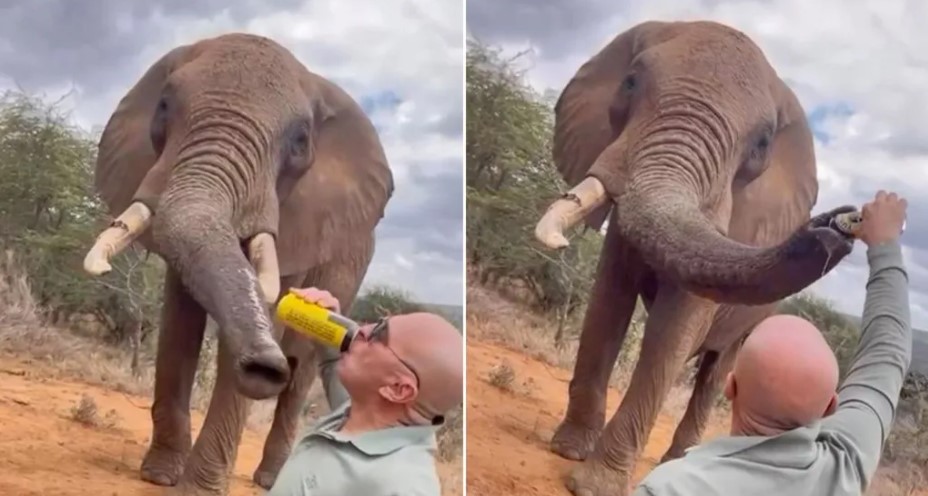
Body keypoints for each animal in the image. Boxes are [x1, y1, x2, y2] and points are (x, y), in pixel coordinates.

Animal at [81, 33, 393, 494]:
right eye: (164, 106)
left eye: (301, 140)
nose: (264, 366)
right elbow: (179, 322)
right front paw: (159, 475)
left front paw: (198, 489)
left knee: (302, 369)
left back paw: (269, 479)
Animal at [532, 20, 856, 496]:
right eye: (630, 83)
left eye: (761, 144)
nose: (840, 223)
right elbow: (609, 300)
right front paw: (569, 451)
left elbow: (676, 325)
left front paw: (594, 485)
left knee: (717, 370)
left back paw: (687, 458)